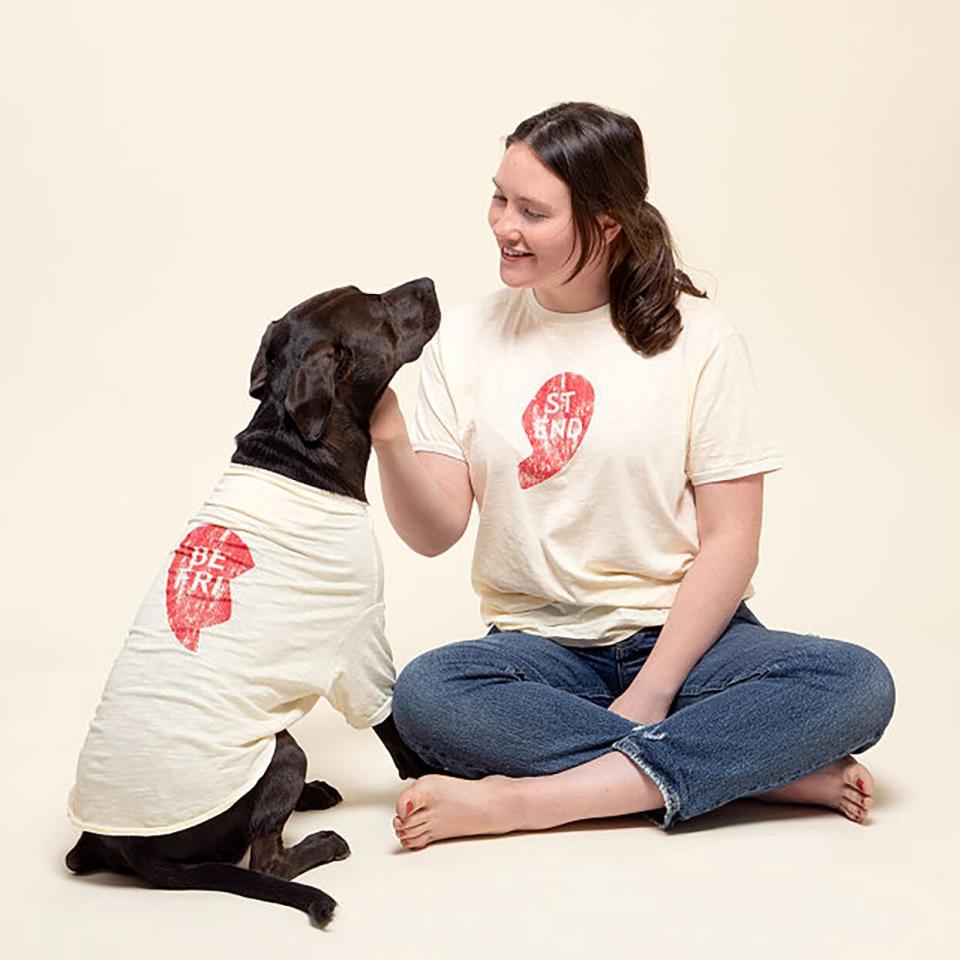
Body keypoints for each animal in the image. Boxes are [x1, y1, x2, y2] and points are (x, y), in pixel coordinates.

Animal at [65, 280, 448, 928]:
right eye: (378, 306)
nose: (427, 282)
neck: (296, 451)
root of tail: (142, 856)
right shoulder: (362, 643)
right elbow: (391, 724)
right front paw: (436, 776)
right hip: (282, 750)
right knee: (266, 861)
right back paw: (323, 841)